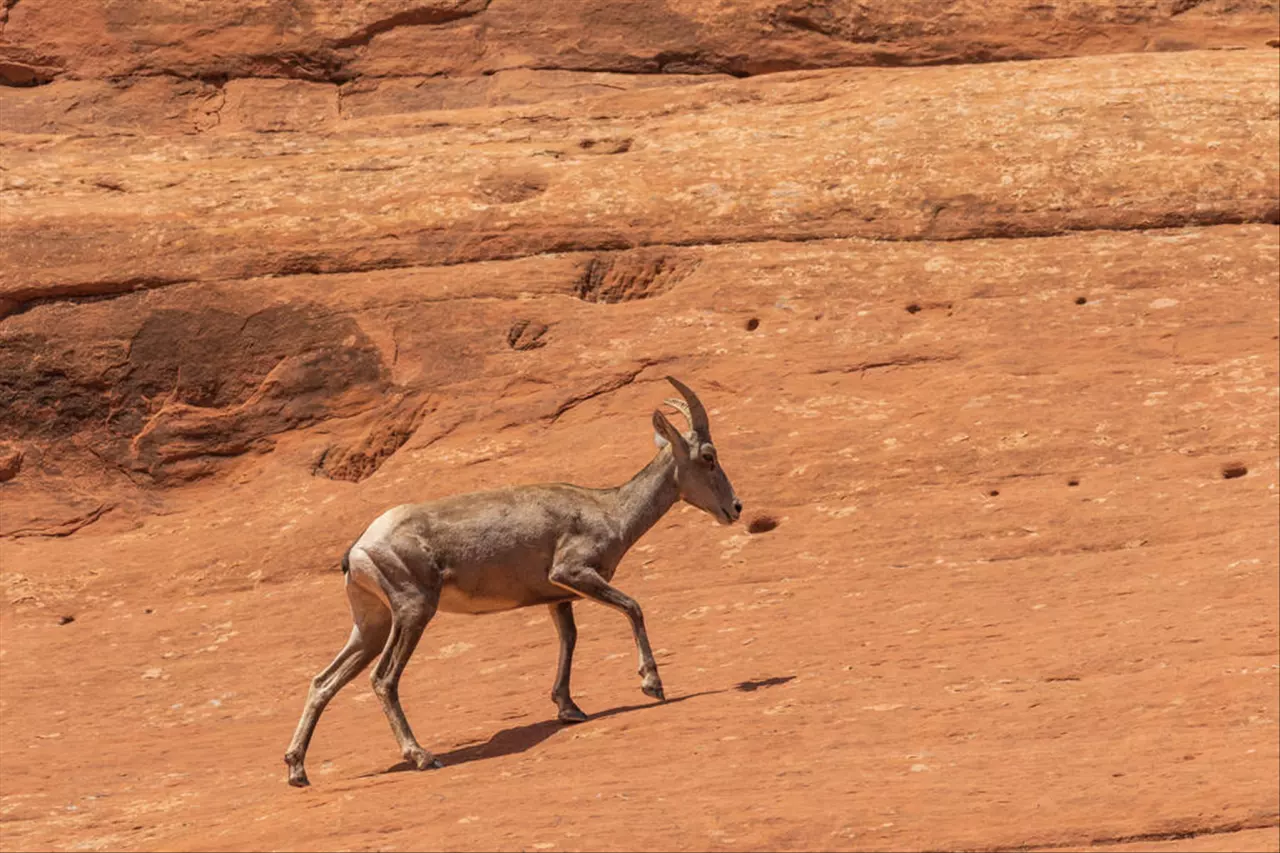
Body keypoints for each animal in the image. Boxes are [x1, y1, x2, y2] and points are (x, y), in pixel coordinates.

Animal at [282, 376, 742, 788]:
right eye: (708, 456)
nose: (735, 508)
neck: (609, 510)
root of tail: (360, 548)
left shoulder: (559, 597)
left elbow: (569, 639)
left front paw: (569, 709)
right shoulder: (573, 572)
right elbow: (633, 606)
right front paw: (652, 684)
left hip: (372, 624)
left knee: (323, 681)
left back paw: (297, 771)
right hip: (413, 611)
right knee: (383, 679)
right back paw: (422, 756)